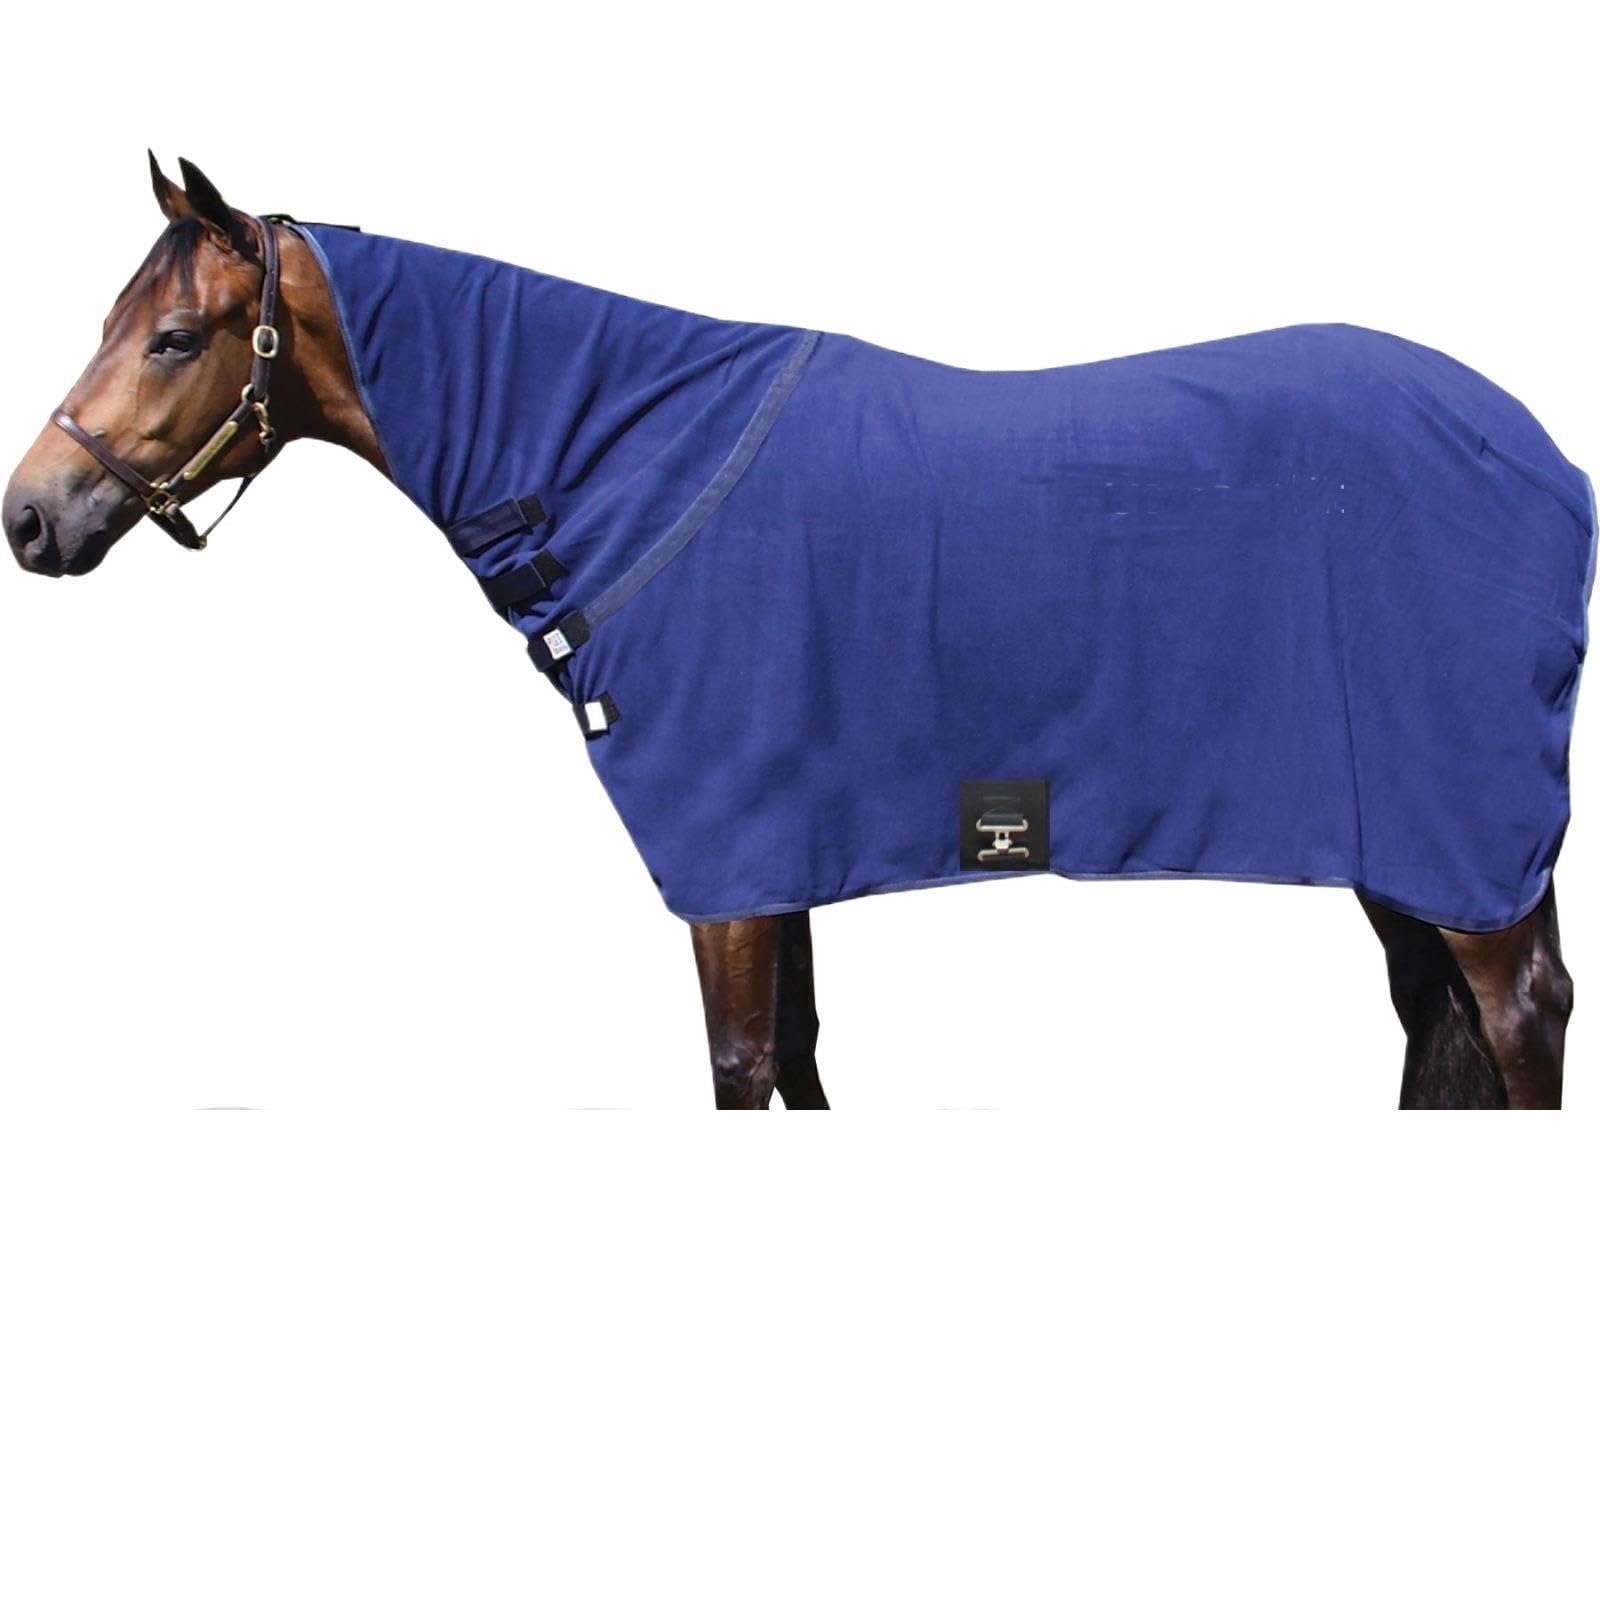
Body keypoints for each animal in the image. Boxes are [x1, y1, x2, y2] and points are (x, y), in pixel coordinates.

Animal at [4, 156, 1589, 1109]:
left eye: (174, 337)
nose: (31, 515)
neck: (629, 461)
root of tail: (1541, 454)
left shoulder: (727, 871)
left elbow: (743, 1061)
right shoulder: (781, 861)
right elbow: (800, 1057)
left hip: (1460, 835)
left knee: (1516, 1014)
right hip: (1409, 837)